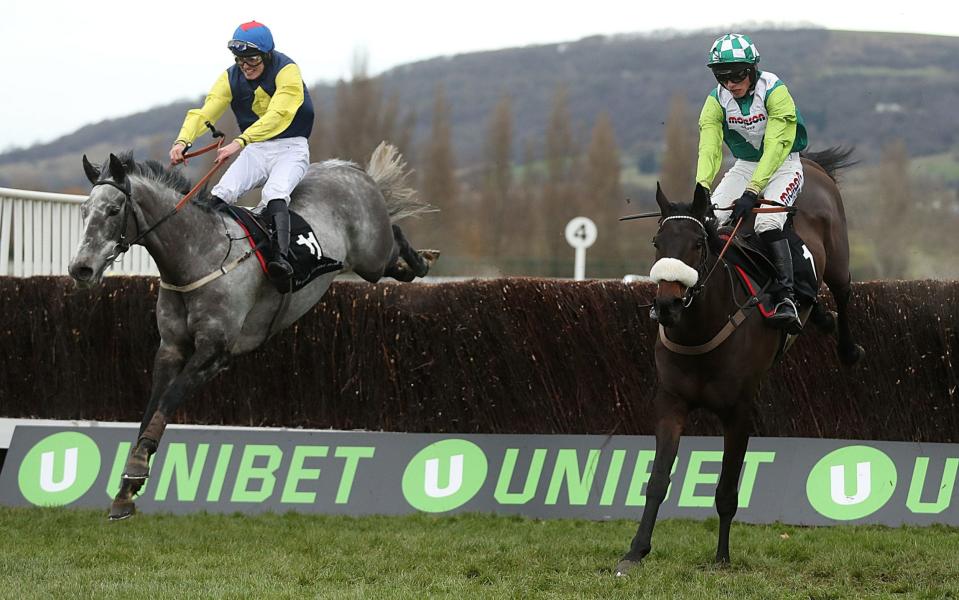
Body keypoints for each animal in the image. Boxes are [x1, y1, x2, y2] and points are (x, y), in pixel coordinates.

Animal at [70, 143, 438, 516]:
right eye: (84, 211)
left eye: (114, 209)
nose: (80, 269)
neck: (198, 256)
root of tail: (351, 169)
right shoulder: (171, 347)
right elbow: (152, 408)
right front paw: (127, 487)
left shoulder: (215, 352)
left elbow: (170, 398)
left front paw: (134, 469)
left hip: (371, 258)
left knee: (396, 241)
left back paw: (422, 258)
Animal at [620, 148, 868, 576]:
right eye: (657, 241)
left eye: (697, 244)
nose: (667, 305)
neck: (700, 331)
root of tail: (809, 160)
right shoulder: (671, 403)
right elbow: (657, 480)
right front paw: (636, 550)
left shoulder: (739, 411)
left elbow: (726, 489)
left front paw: (722, 556)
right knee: (818, 296)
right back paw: (817, 315)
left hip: (836, 251)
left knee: (842, 288)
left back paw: (847, 347)